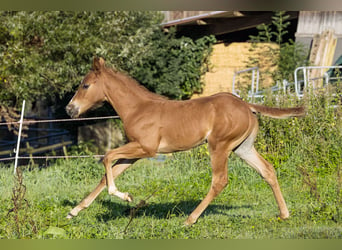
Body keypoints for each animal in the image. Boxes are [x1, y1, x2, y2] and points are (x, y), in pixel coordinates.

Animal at [66, 57, 304, 226]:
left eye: (85, 85)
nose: (69, 109)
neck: (138, 109)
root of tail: (247, 105)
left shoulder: (146, 149)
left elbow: (106, 157)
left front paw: (125, 196)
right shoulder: (135, 153)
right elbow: (108, 175)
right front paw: (74, 211)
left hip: (219, 146)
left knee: (220, 180)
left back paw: (190, 219)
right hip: (242, 148)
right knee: (267, 170)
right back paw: (284, 214)